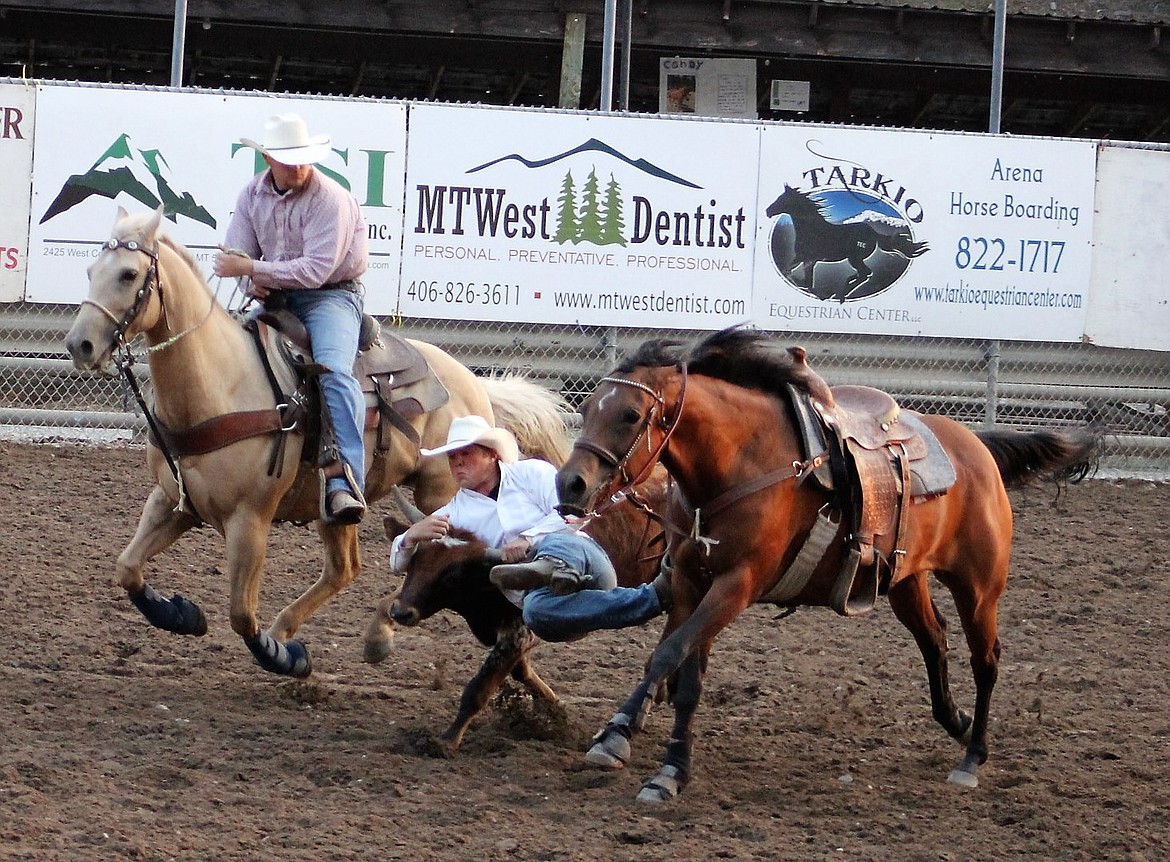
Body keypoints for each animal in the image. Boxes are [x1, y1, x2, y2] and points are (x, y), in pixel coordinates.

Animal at [64, 208, 566, 678]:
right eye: (89, 270)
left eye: (128, 274)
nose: (79, 344)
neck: (219, 384)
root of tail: (474, 383)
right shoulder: (174, 501)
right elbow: (127, 568)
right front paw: (182, 615)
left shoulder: (250, 519)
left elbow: (241, 614)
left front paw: (285, 658)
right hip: (338, 504)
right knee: (345, 567)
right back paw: (300, 627)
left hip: (439, 491)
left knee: (431, 546)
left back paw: (371, 633)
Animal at [552, 325, 1099, 804]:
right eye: (589, 405)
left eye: (629, 414)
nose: (570, 484)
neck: (739, 463)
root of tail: (978, 448)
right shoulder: (691, 581)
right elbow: (677, 665)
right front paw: (630, 743)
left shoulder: (736, 586)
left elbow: (673, 658)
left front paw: (662, 768)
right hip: (905, 582)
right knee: (935, 641)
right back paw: (958, 723)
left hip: (980, 586)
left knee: (986, 661)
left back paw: (972, 756)